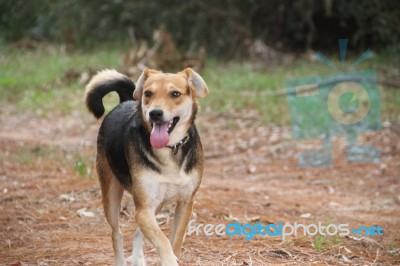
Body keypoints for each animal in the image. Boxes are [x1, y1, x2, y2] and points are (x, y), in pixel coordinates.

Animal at [85, 67, 209, 264]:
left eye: (175, 94)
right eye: (148, 93)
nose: (155, 113)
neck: (169, 149)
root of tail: (125, 101)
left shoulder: (185, 203)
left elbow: (175, 240)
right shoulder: (143, 209)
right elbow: (163, 241)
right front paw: (169, 260)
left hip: (156, 204)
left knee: (137, 232)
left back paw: (138, 260)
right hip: (112, 195)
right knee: (116, 233)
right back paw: (120, 261)